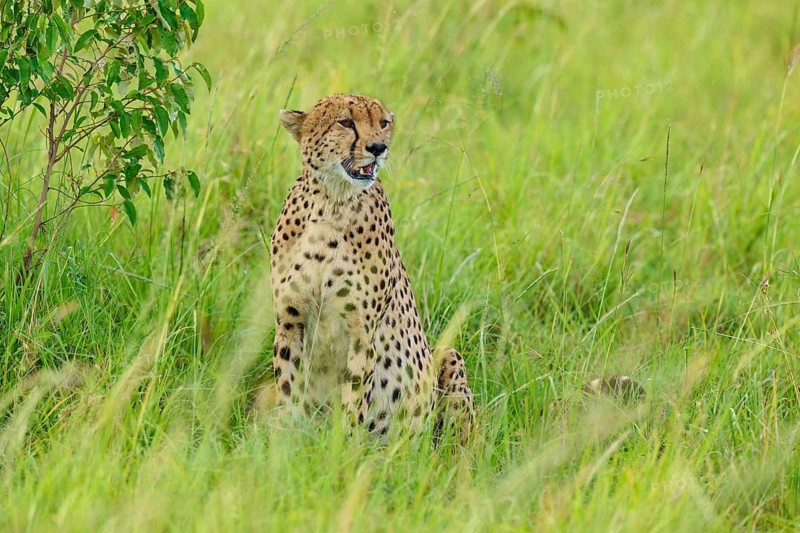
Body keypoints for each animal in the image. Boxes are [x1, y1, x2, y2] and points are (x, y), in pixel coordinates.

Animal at [269, 93, 474, 444]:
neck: (333, 202)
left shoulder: (362, 333)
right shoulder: (289, 320)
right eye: (345, 122)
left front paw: (343, 447)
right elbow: (288, 388)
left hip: (447, 358)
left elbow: (354, 397)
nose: (378, 147)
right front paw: (285, 441)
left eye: (383, 123)